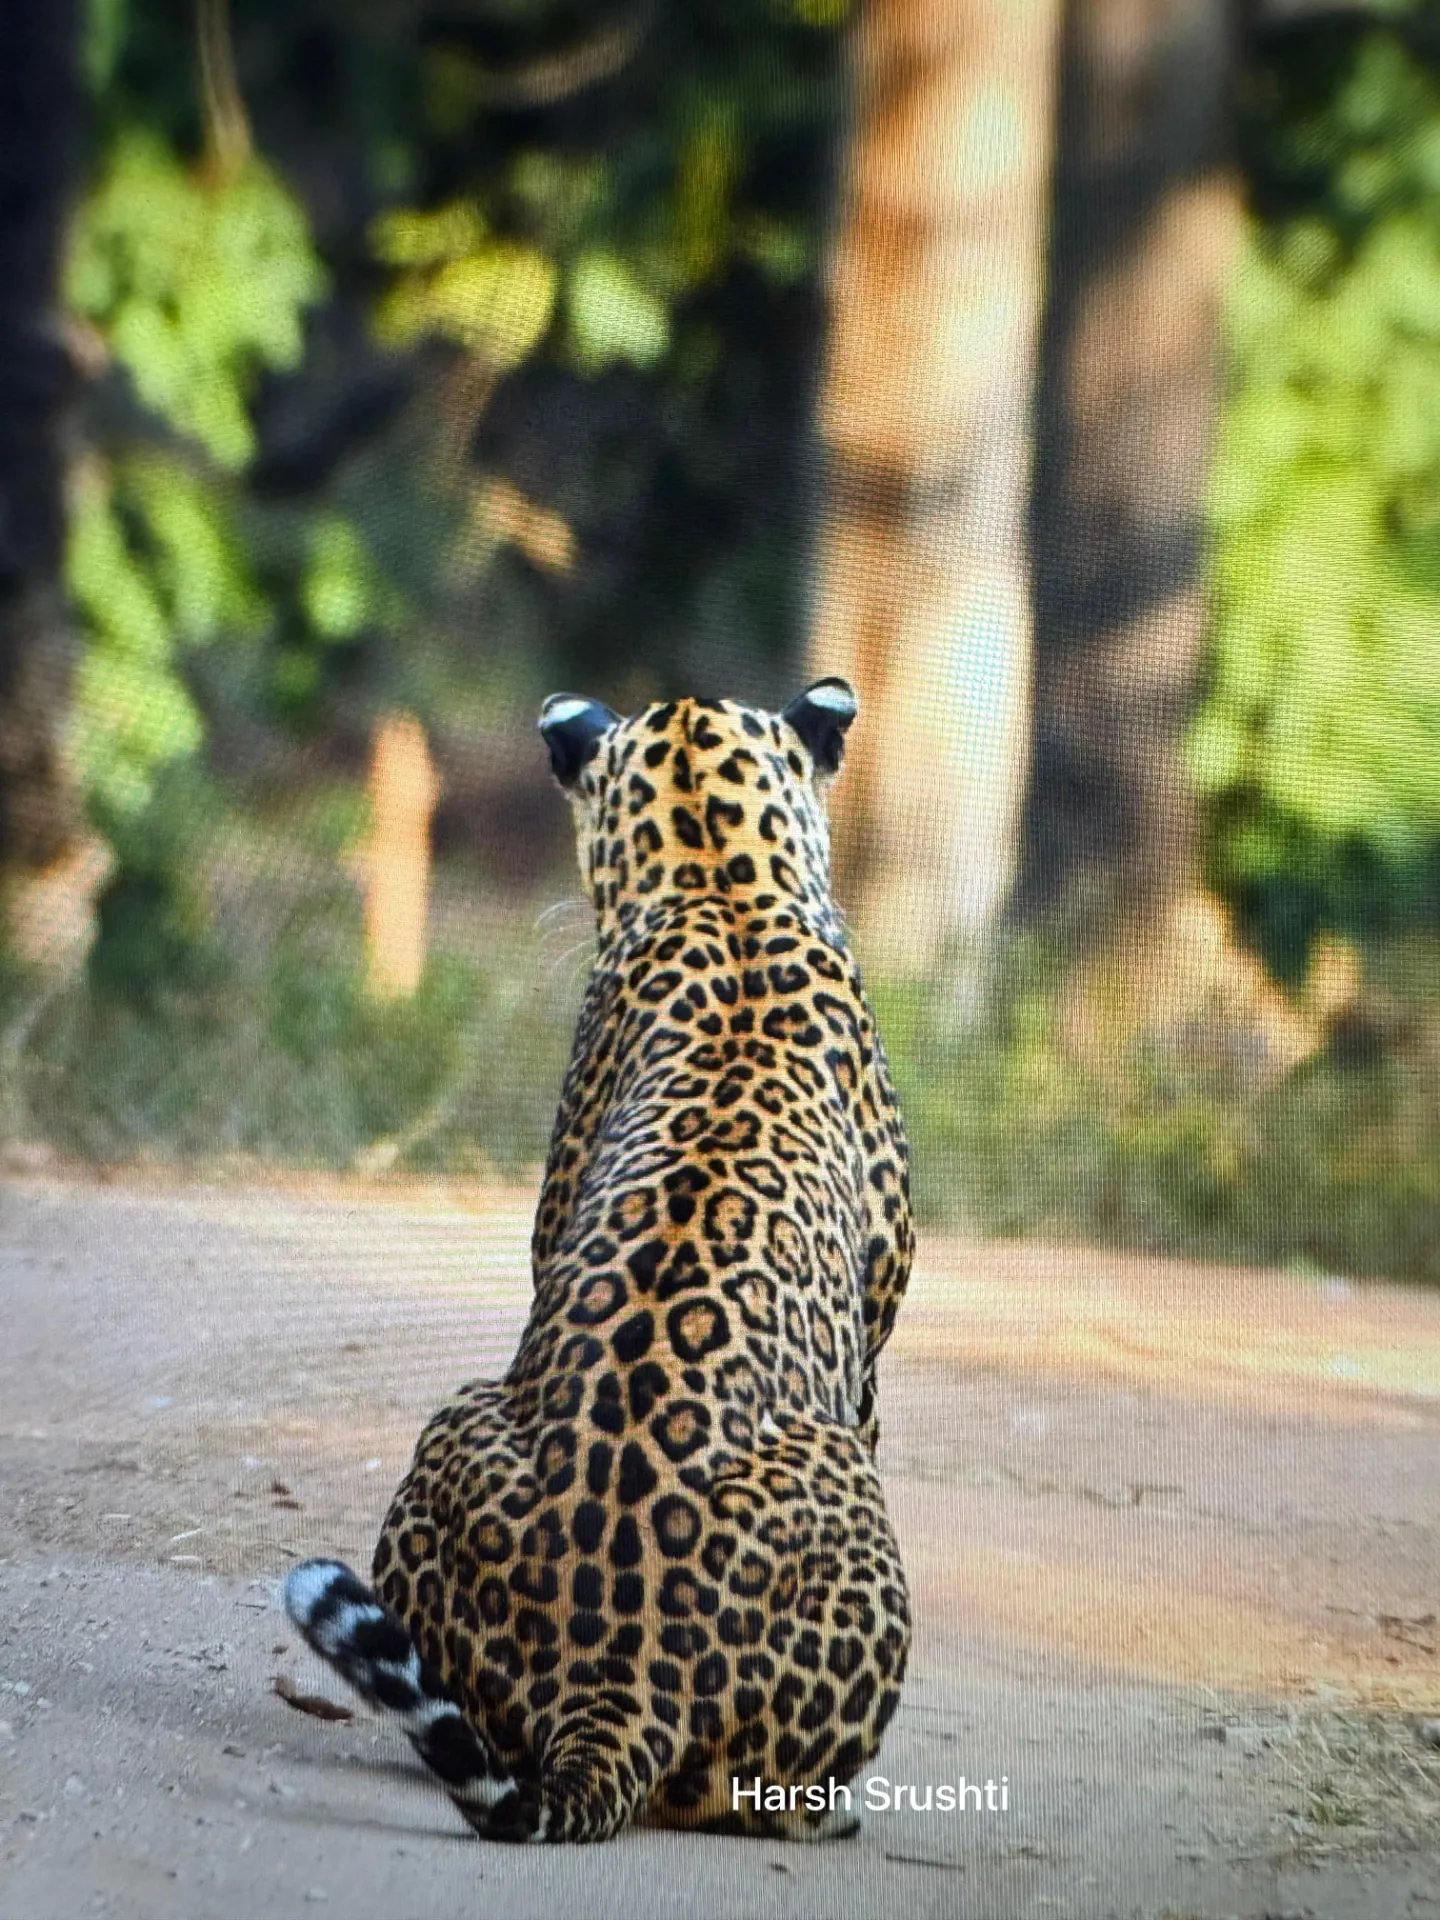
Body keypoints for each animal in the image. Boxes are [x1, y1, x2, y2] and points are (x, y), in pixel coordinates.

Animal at [283, 678, 914, 1844]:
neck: (720, 878)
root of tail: (612, 1683)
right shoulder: (875, 1334)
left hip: (460, 1417)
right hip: (848, 1498)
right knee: (753, 1797)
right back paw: (834, 1815)